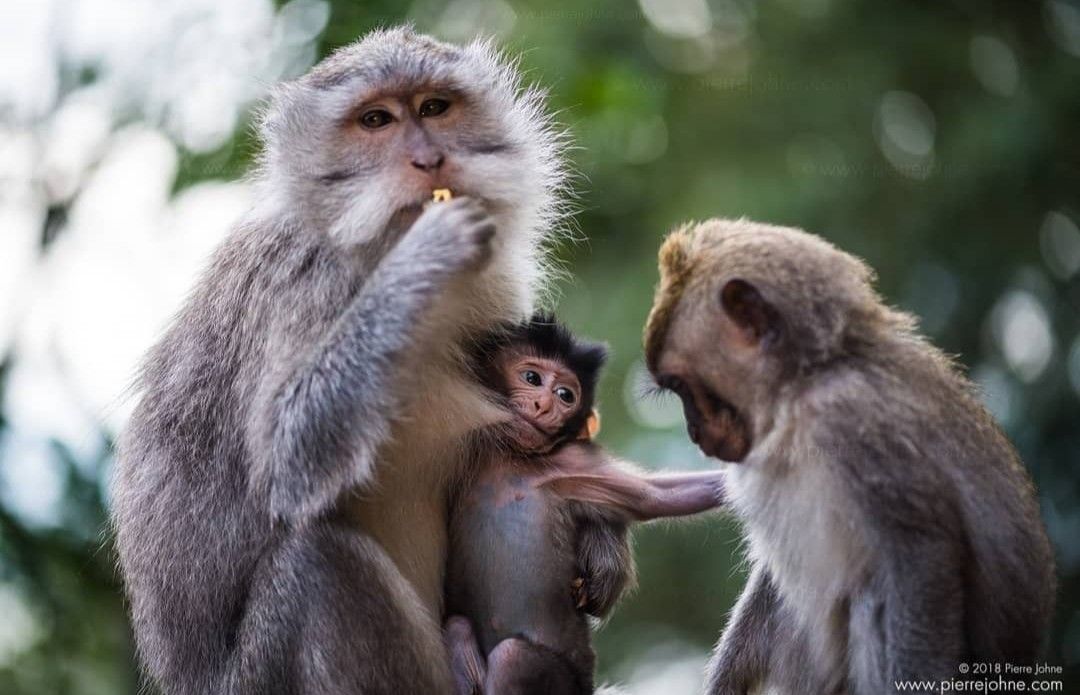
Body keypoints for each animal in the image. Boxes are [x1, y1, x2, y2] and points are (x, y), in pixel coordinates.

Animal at [110, 27, 584, 695]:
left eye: (434, 107)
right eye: (376, 120)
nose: (429, 160)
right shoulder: (304, 281)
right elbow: (288, 453)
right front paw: (423, 257)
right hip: (259, 677)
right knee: (316, 564)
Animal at [443, 315, 726, 695]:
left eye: (565, 395)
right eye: (532, 378)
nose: (543, 405)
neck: (511, 461)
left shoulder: (572, 464)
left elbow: (654, 496)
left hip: (565, 680)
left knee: (513, 658)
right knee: (457, 626)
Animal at [643, 218, 1056, 695]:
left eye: (683, 386)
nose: (694, 432)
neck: (804, 381)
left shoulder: (853, 423)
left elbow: (922, 557)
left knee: (871, 598)